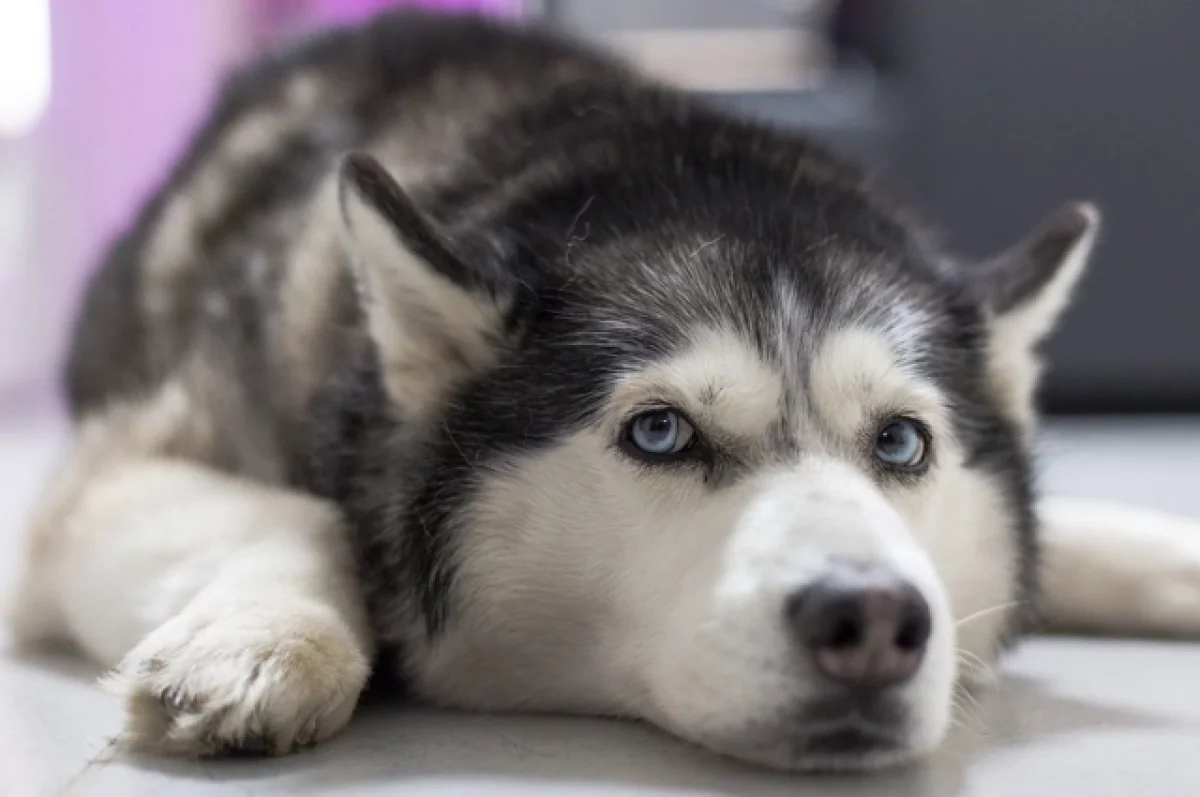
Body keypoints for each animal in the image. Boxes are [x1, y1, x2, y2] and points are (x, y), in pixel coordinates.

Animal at [7, 10, 1200, 772]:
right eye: (661, 432)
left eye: (902, 444)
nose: (872, 618)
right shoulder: (101, 483)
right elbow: (308, 515)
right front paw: (261, 640)